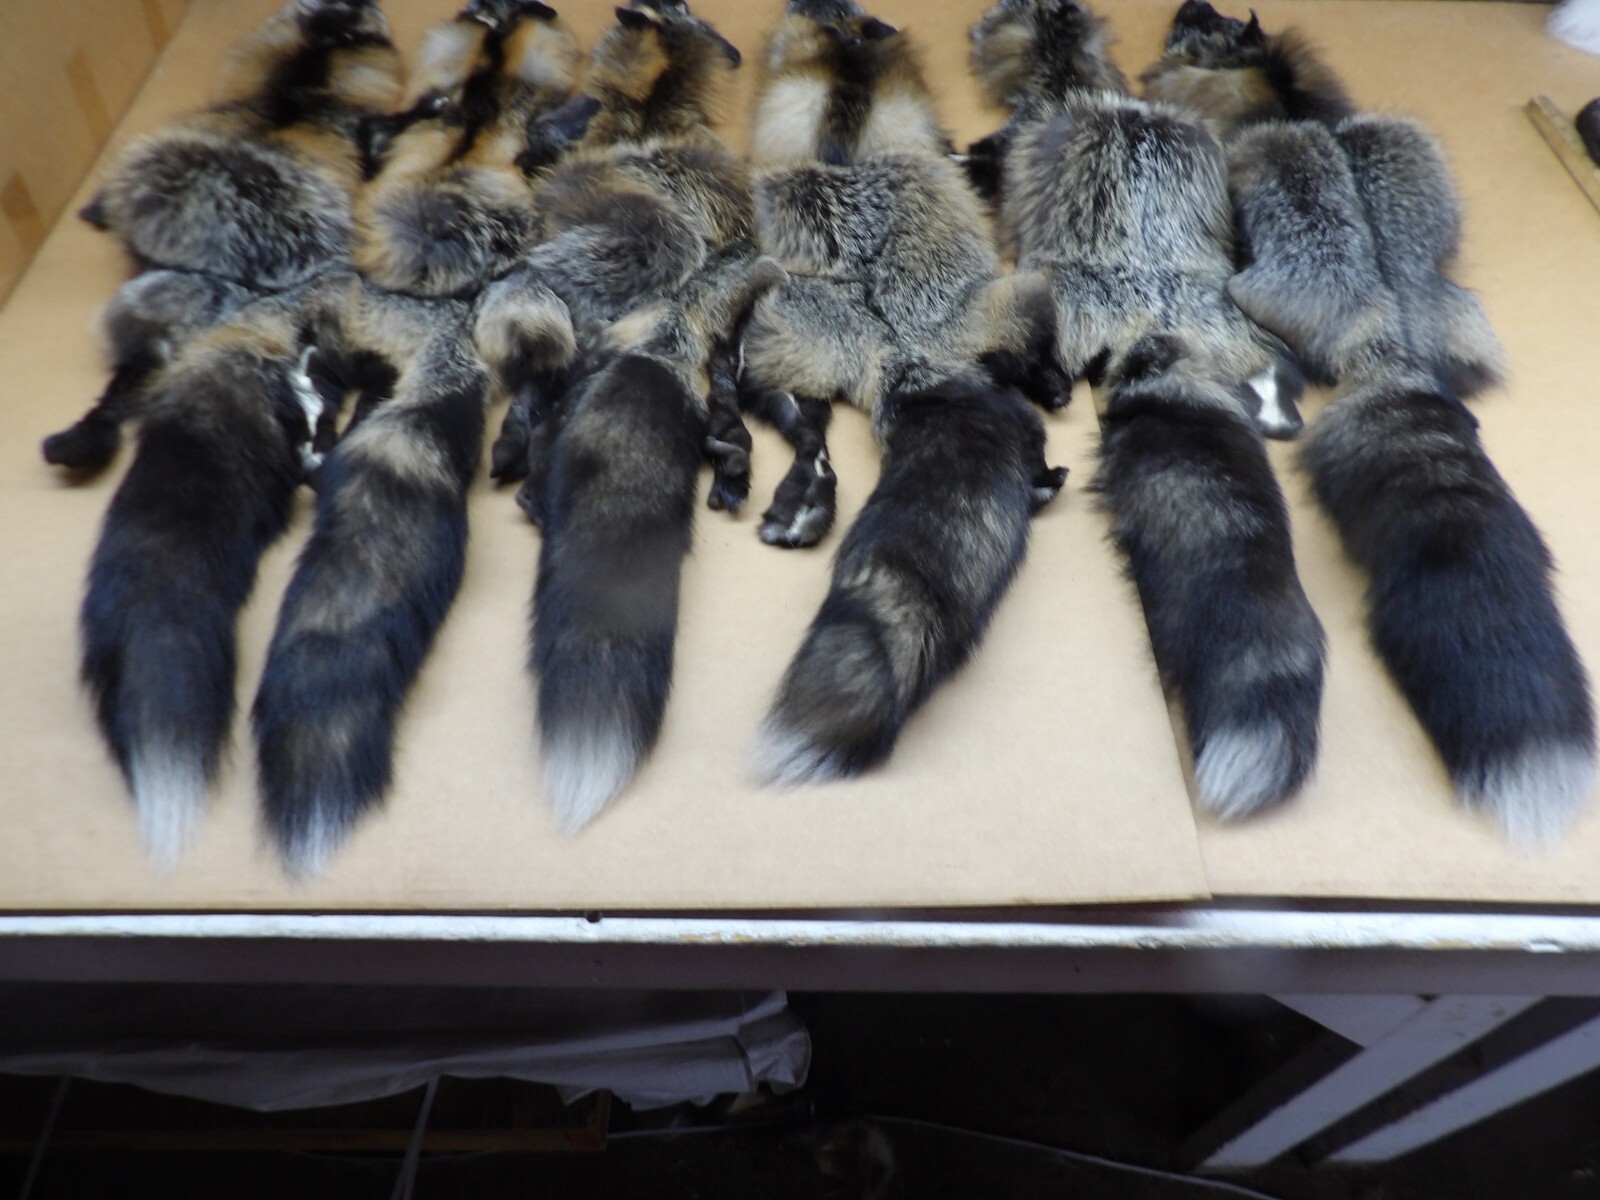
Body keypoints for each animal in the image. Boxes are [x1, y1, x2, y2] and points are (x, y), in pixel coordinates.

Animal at [739, 0, 1067, 786]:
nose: (801, 9)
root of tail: (898, 348)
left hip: (770, 349)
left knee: (809, 434)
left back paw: (801, 504)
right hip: (1022, 295)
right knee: (1027, 418)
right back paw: (1048, 450)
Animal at [966, 0, 1327, 818]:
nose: (1190, 7)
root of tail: (1148, 295)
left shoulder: (1025, 155)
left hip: (1056, 298)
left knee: (1033, 356)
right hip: (1227, 324)